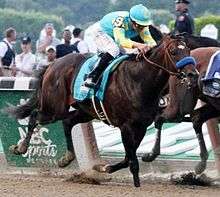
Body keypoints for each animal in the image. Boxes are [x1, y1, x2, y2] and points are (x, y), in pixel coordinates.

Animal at [5, 33, 198, 187]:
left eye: (188, 50)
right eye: (173, 51)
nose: (193, 74)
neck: (140, 81)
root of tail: (53, 64)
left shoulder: (141, 126)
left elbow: (128, 158)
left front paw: (102, 167)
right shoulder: (126, 126)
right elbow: (132, 161)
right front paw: (136, 185)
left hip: (85, 111)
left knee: (68, 122)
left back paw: (66, 158)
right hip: (54, 108)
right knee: (35, 116)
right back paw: (20, 148)